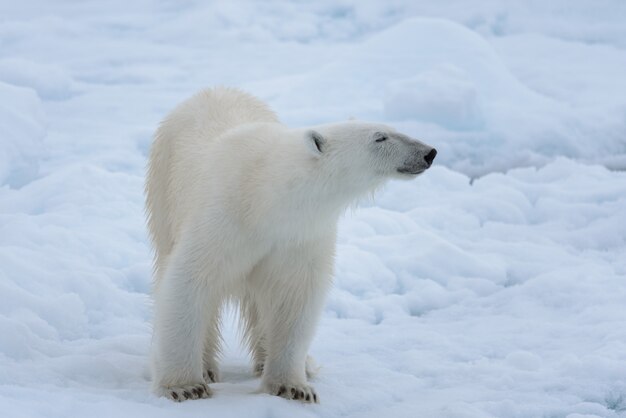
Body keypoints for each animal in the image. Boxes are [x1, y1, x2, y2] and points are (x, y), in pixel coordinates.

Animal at [144, 87, 436, 402]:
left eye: (394, 130)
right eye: (380, 137)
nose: (429, 152)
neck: (265, 197)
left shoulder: (299, 236)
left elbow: (295, 296)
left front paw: (293, 386)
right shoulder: (223, 217)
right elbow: (190, 282)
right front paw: (185, 386)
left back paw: (288, 363)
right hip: (164, 187)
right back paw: (207, 366)